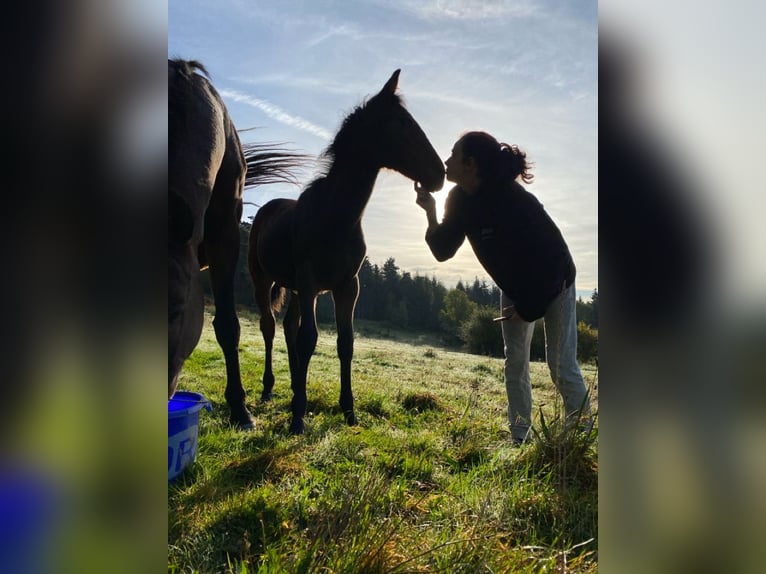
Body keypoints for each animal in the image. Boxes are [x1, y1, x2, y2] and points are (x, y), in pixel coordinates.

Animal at [249, 70, 448, 434]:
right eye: (401, 122)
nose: (438, 174)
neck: (337, 216)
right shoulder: (310, 281)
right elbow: (310, 338)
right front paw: (298, 416)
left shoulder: (347, 285)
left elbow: (345, 342)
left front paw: (348, 411)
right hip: (263, 280)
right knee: (270, 327)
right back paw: (270, 389)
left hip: (295, 289)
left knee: (288, 327)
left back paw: (295, 386)